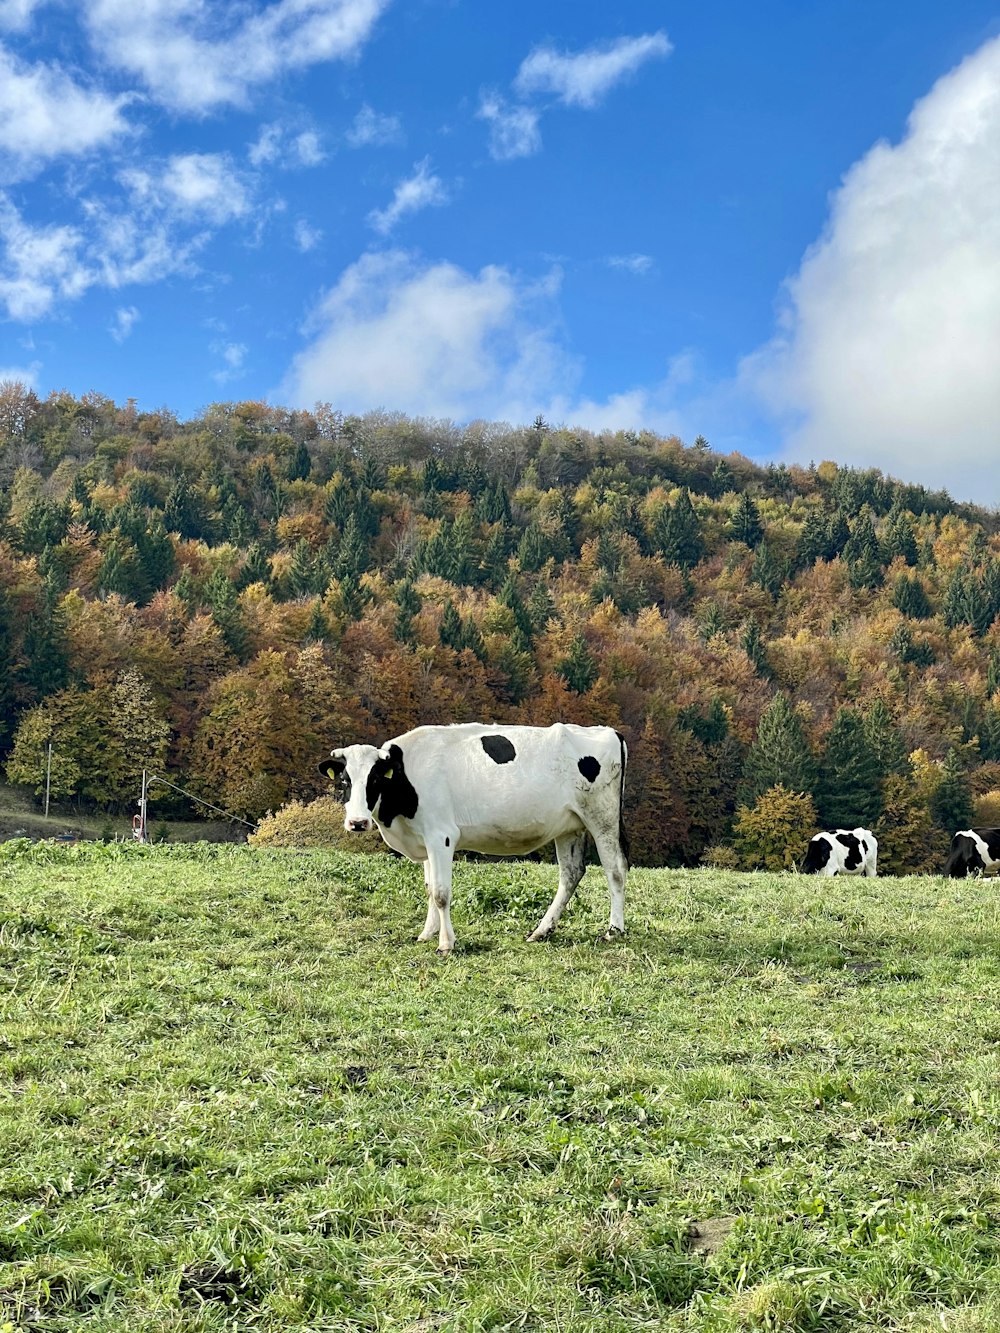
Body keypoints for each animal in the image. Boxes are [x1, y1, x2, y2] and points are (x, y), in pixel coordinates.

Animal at [317, 725, 629, 954]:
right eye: (344, 781)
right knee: (571, 873)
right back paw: (542, 930)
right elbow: (429, 888)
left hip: (602, 818)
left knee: (614, 870)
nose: (358, 822)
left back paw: (614, 930)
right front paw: (427, 933)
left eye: (375, 780)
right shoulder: (424, 838)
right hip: (569, 826)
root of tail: (609, 730)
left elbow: (441, 892)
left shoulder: (441, 835)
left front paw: (446, 943)